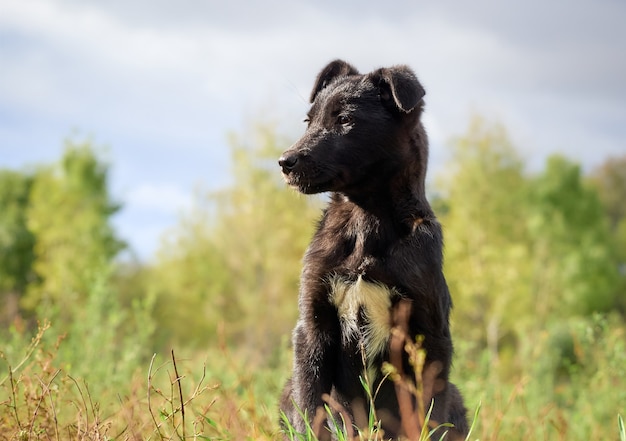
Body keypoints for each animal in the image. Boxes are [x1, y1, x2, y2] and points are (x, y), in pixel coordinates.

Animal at [276, 60, 464, 438]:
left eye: (345, 120)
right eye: (308, 121)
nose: (284, 161)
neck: (366, 219)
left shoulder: (430, 334)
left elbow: (429, 412)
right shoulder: (313, 327)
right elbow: (310, 406)